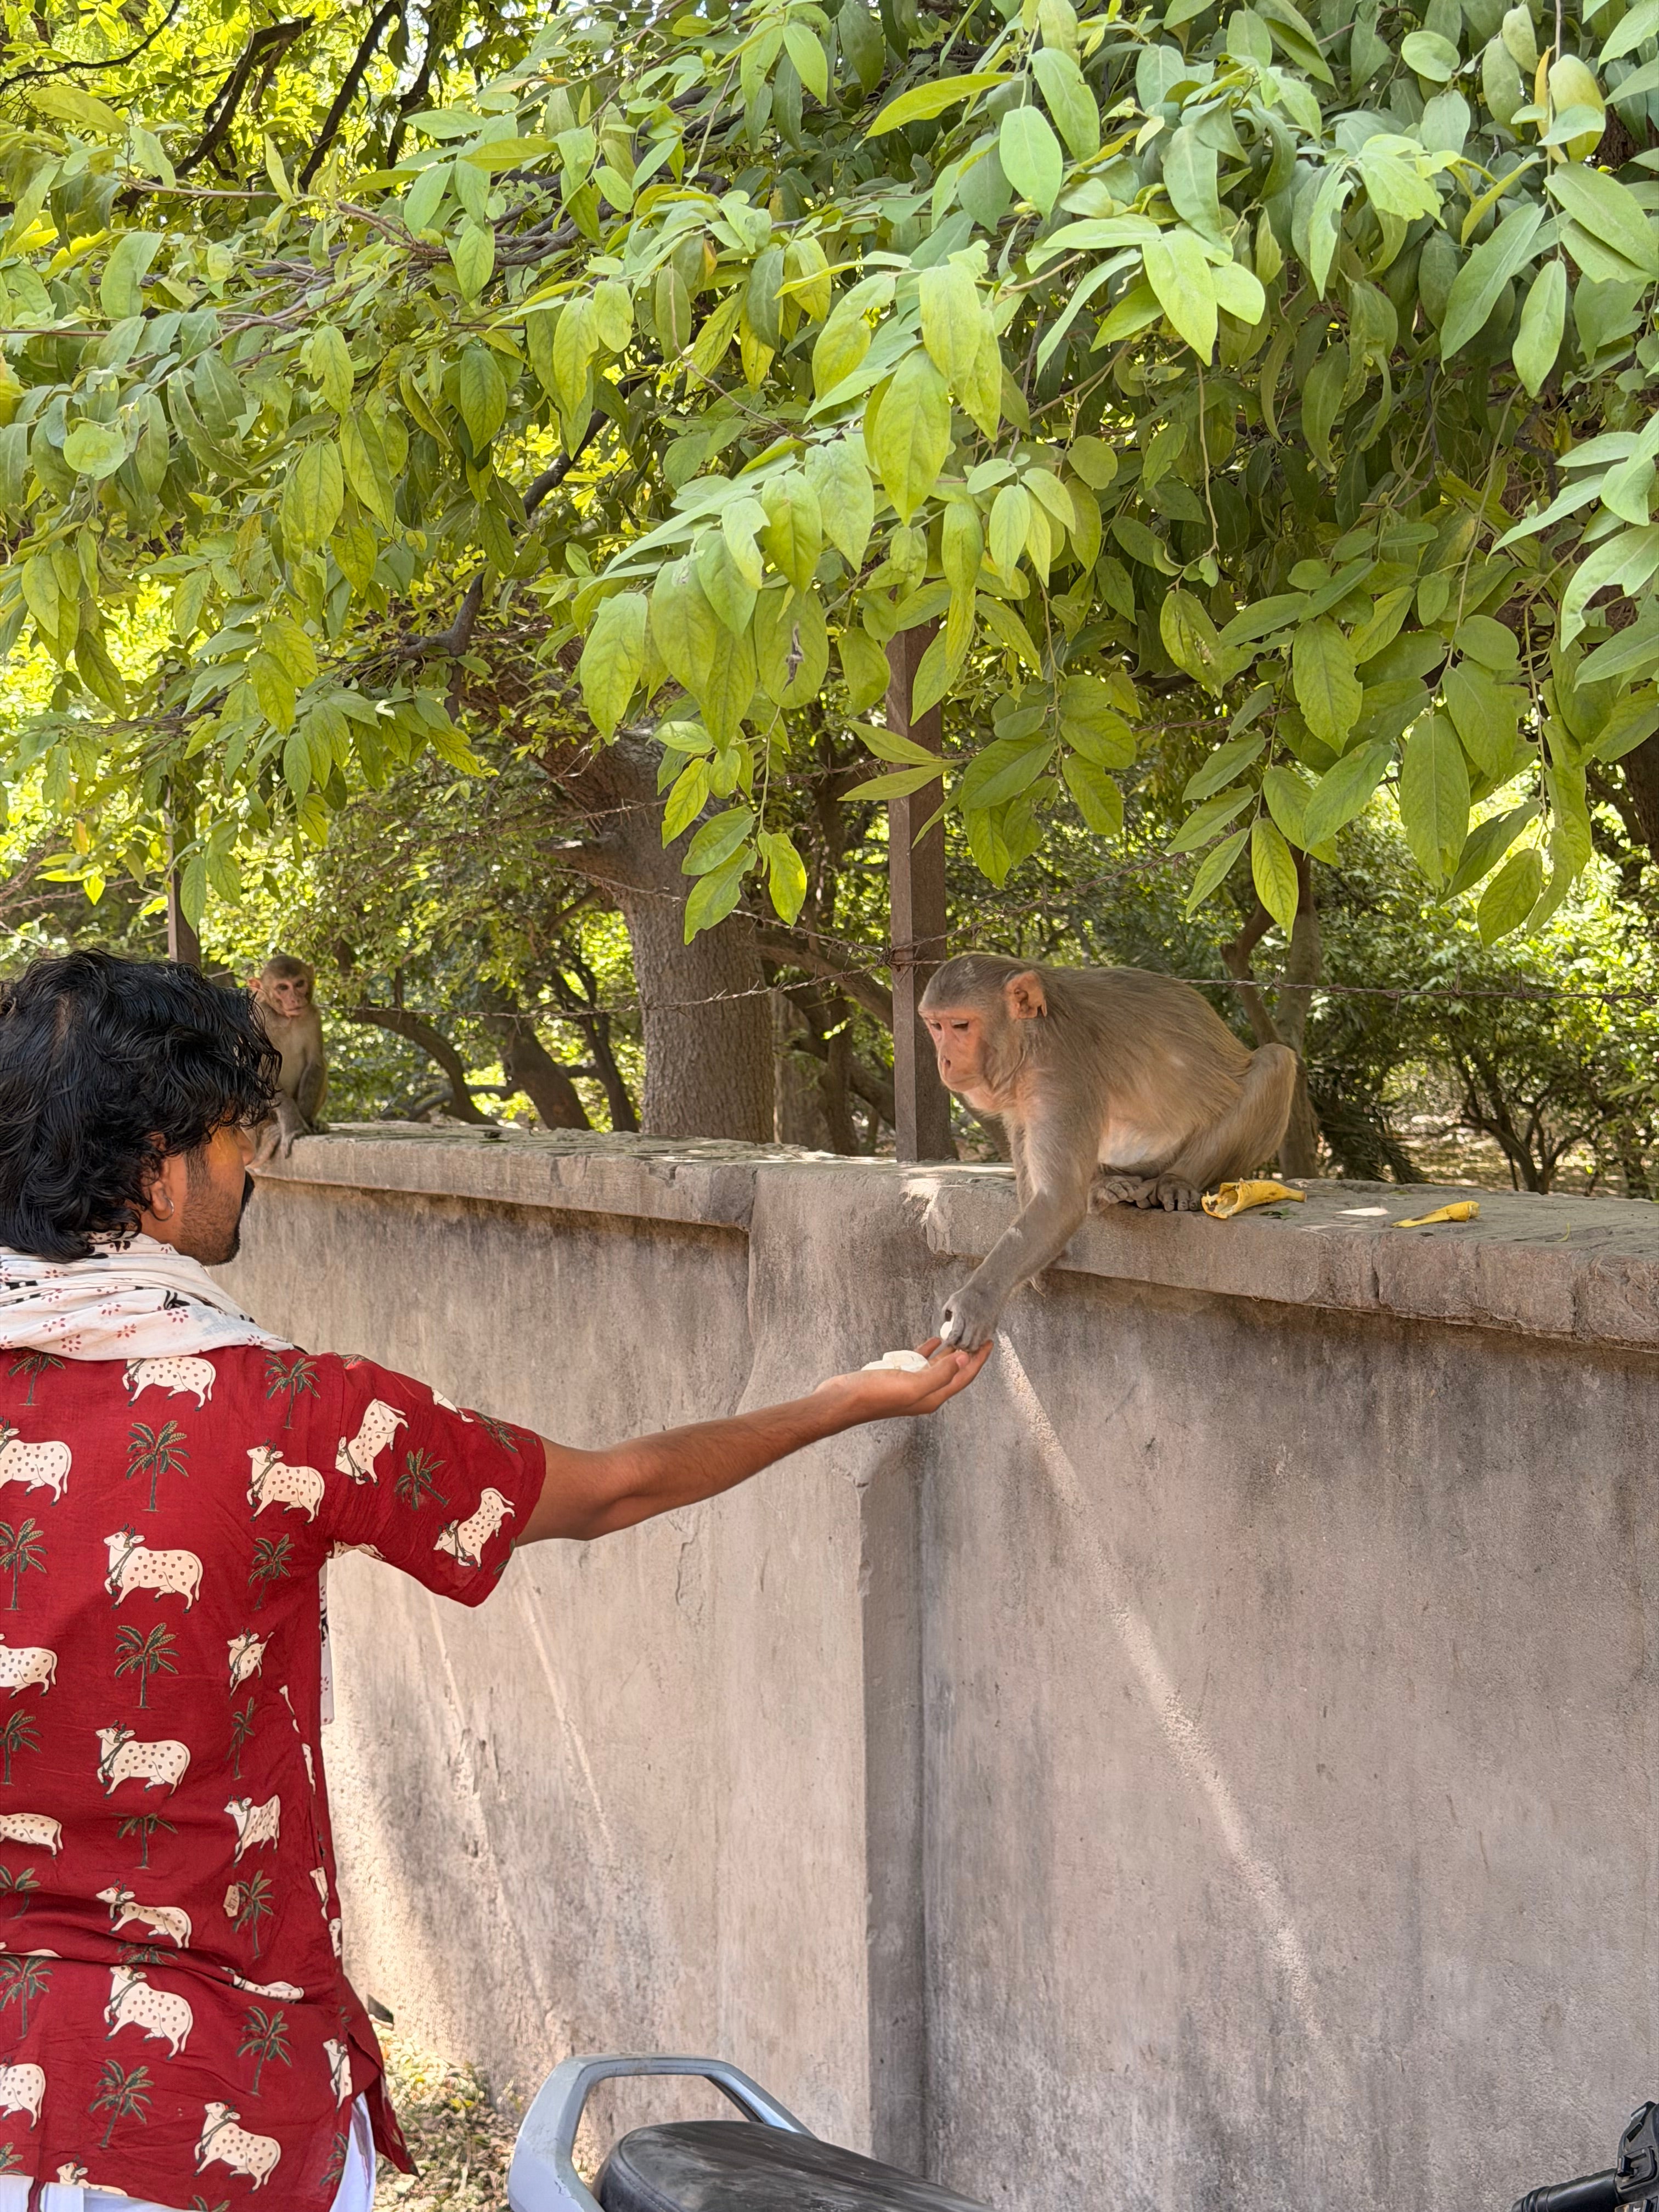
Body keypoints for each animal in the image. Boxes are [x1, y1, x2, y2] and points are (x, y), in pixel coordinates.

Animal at [249, 955, 327, 1158]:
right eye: (283, 987)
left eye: (299, 984)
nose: (295, 998)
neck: (285, 1018)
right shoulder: (259, 1021)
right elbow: (262, 1071)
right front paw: (294, 1126)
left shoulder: (312, 1015)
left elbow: (316, 1062)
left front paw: (306, 1120)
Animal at [919, 953, 1298, 1350]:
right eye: (935, 1026)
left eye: (961, 1026)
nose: (944, 1060)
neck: (1032, 1035)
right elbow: (1030, 1156)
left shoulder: (1060, 1071)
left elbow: (1059, 1201)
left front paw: (979, 1300)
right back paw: (1106, 1184)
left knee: (1276, 1061)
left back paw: (1177, 1180)